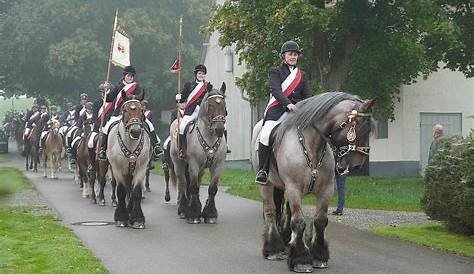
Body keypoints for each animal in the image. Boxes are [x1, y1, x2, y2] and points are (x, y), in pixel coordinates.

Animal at [107, 90, 150, 229]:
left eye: (142, 110)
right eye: (125, 110)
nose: (135, 131)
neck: (130, 144)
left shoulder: (141, 168)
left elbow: (136, 192)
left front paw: (137, 218)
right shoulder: (117, 169)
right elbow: (121, 191)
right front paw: (121, 217)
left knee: (130, 190)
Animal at [169, 82, 229, 224]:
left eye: (224, 105)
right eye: (210, 105)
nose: (219, 129)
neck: (210, 136)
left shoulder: (218, 165)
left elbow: (212, 189)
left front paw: (210, 213)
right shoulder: (194, 164)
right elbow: (193, 187)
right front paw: (193, 214)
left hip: (201, 168)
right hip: (178, 163)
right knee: (183, 183)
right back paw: (183, 209)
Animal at [252, 92, 374, 272]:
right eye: (359, 128)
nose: (357, 165)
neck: (311, 144)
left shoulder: (326, 190)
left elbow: (320, 221)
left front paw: (319, 256)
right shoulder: (294, 189)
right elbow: (299, 222)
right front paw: (301, 259)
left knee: (287, 212)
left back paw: (286, 244)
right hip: (266, 185)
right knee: (270, 212)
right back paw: (273, 249)